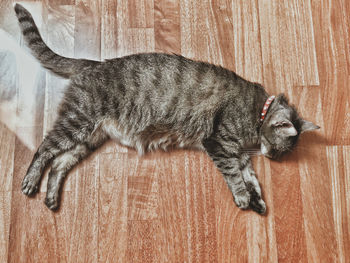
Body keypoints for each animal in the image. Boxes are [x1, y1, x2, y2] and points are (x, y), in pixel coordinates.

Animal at [14, 3, 320, 214]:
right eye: (280, 150)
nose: (273, 159)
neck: (258, 112)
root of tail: (92, 63)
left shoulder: (239, 152)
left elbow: (251, 177)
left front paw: (257, 200)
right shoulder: (219, 143)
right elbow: (235, 174)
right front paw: (244, 197)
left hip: (88, 138)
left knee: (59, 164)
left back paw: (51, 197)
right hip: (77, 122)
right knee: (44, 149)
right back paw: (30, 182)